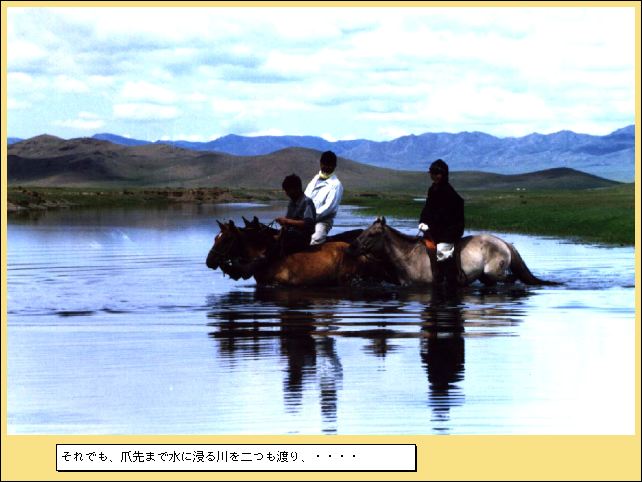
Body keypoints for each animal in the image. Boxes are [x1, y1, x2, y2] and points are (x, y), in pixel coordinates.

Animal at [347, 217, 560, 287]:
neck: (408, 257)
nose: (352, 247)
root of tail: (505, 243)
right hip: (486, 277)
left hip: (494, 272)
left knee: (511, 280)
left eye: (373, 233)